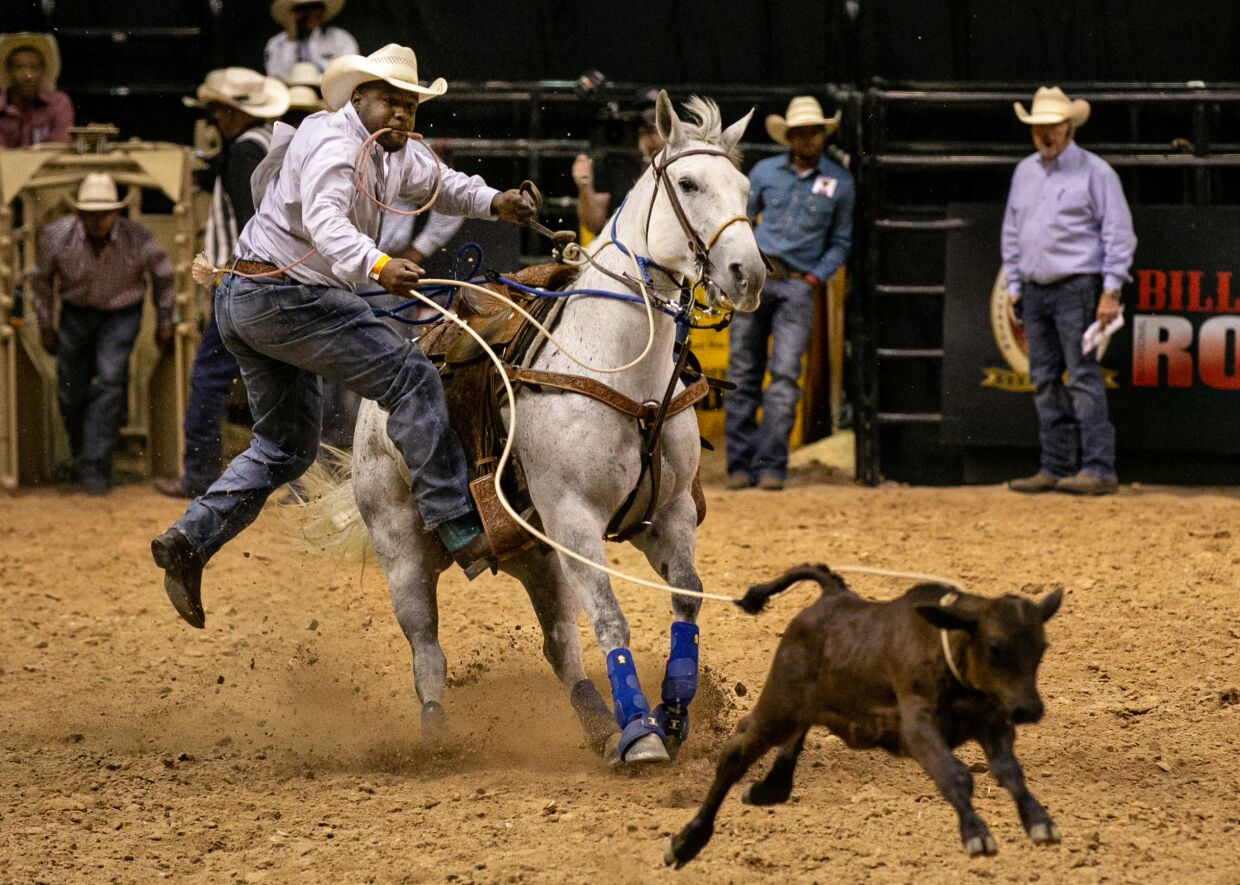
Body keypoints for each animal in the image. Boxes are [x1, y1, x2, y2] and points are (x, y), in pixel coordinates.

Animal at [664, 562, 1061, 867]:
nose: (1029, 708)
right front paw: (977, 835)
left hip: (805, 705)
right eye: (995, 647)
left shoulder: (993, 723)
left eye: (1041, 648)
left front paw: (1040, 822)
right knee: (738, 750)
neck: (946, 643)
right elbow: (955, 774)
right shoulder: (918, 727)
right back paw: (686, 843)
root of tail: (833, 597)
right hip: (779, 705)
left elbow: (1009, 771)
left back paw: (768, 788)